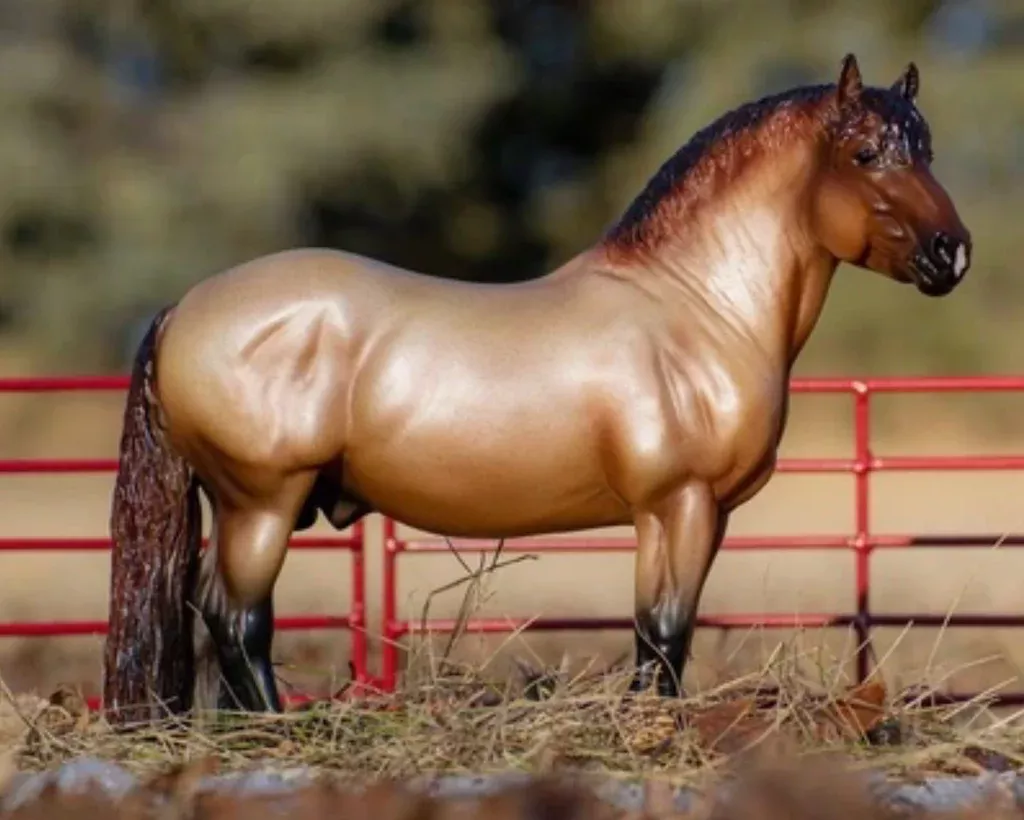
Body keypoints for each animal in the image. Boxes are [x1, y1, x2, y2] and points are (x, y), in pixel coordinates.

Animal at [102, 53, 971, 723]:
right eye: (865, 153)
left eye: (928, 151)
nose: (950, 253)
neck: (696, 305)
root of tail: (184, 308)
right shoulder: (678, 505)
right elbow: (665, 630)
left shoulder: (699, 515)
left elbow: (658, 634)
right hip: (263, 501)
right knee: (238, 619)